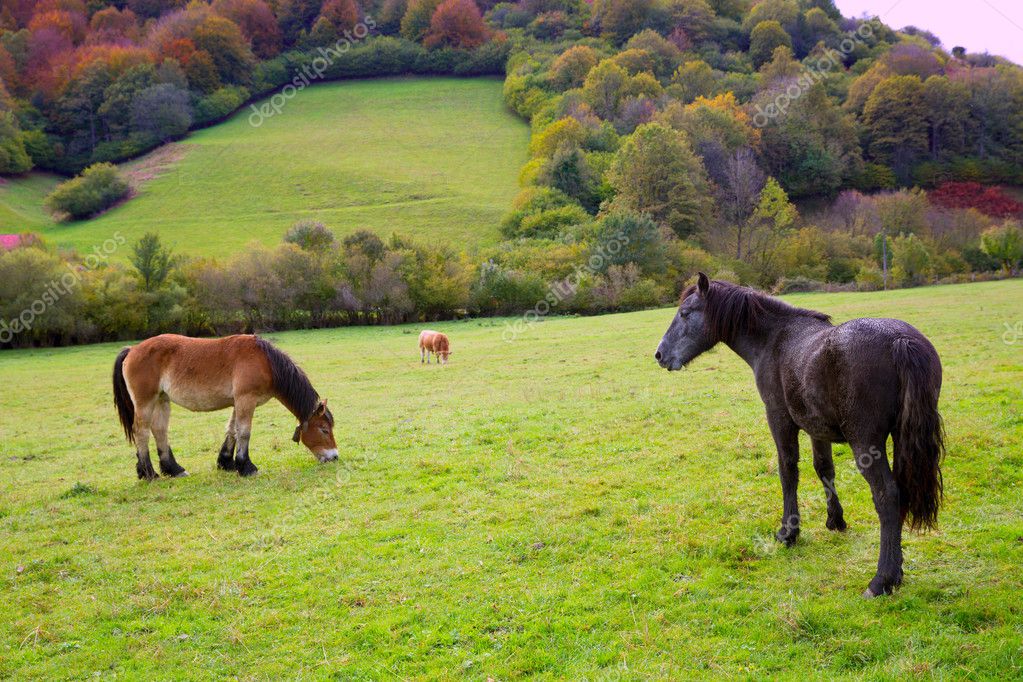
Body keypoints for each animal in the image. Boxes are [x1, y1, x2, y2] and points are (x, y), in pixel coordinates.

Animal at [112, 335, 337, 480]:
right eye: (324, 430)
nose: (334, 456)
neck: (265, 362)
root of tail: (132, 350)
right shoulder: (246, 399)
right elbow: (244, 432)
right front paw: (246, 467)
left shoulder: (239, 401)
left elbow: (232, 431)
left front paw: (226, 463)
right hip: (145, 402)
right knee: (141, 432)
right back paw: (149, 473)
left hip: (161, 400)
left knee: (160, 431)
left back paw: (173, 469)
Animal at [654, 274, 941, 601]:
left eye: (685, 313)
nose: (659, 354)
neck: (775, 340)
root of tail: (899, 340)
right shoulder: (817, 428)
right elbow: (824, 469)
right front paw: (835, 520)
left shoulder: (780, 420)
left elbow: (788, 471)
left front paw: (788, 532)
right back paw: (897, 571)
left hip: (866, 444)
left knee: (887, 496)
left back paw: (882, 579)